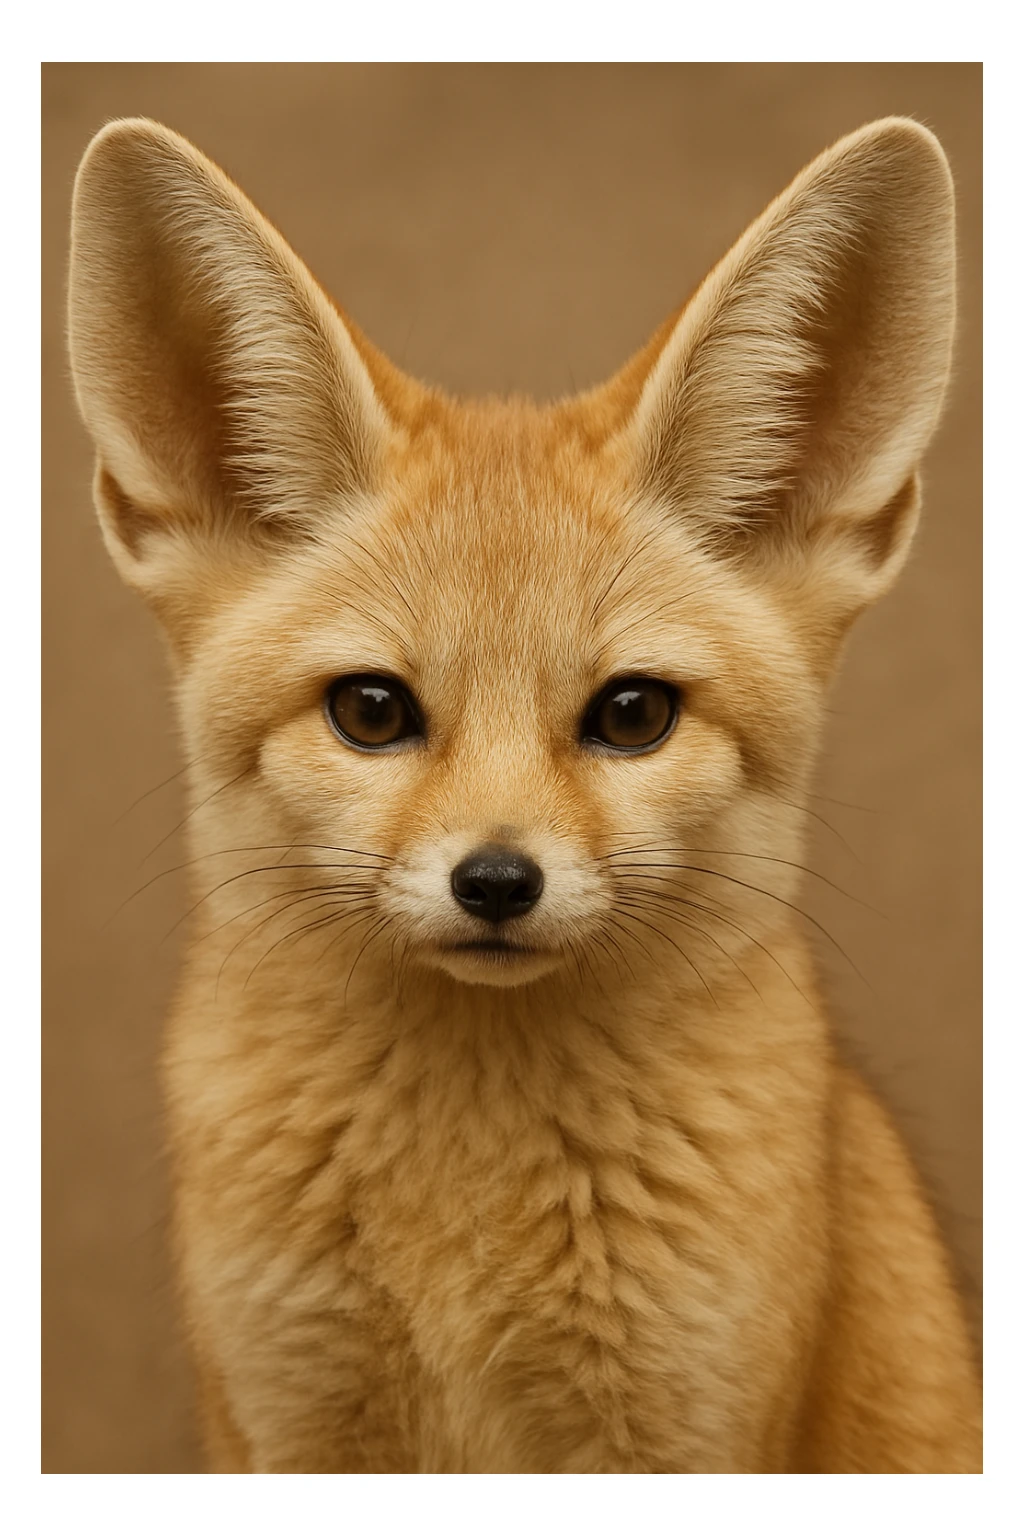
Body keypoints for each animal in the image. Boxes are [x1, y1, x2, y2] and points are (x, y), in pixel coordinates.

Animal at [66, 114, 981, 1474]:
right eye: (372, 710)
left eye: (633, 714)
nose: (496, 881)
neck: (468, 1222)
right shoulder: (284, 1424)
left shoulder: (684, 1435)